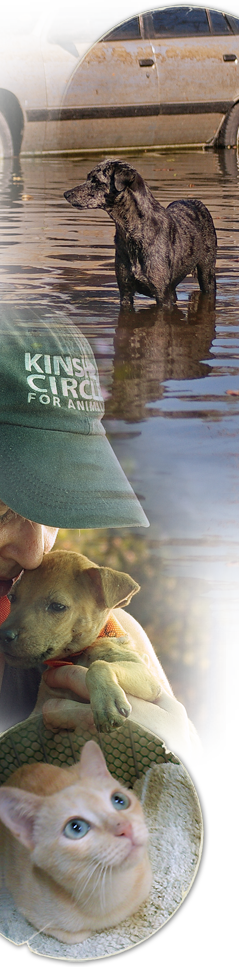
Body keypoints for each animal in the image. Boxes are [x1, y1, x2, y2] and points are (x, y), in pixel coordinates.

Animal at [0, 552, 204, 764]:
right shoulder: (36, 722)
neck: (76, 656)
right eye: (12, 597)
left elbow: (98, 666)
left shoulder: (148, 677)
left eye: (57, 606)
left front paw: (106, 704)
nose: (3, 635)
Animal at [64, 161, 217, 308]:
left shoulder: (163, 295)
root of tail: (196, 201)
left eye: (96, 180)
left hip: (207, 272)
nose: (66, 194)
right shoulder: (125, 292)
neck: (133, 232)